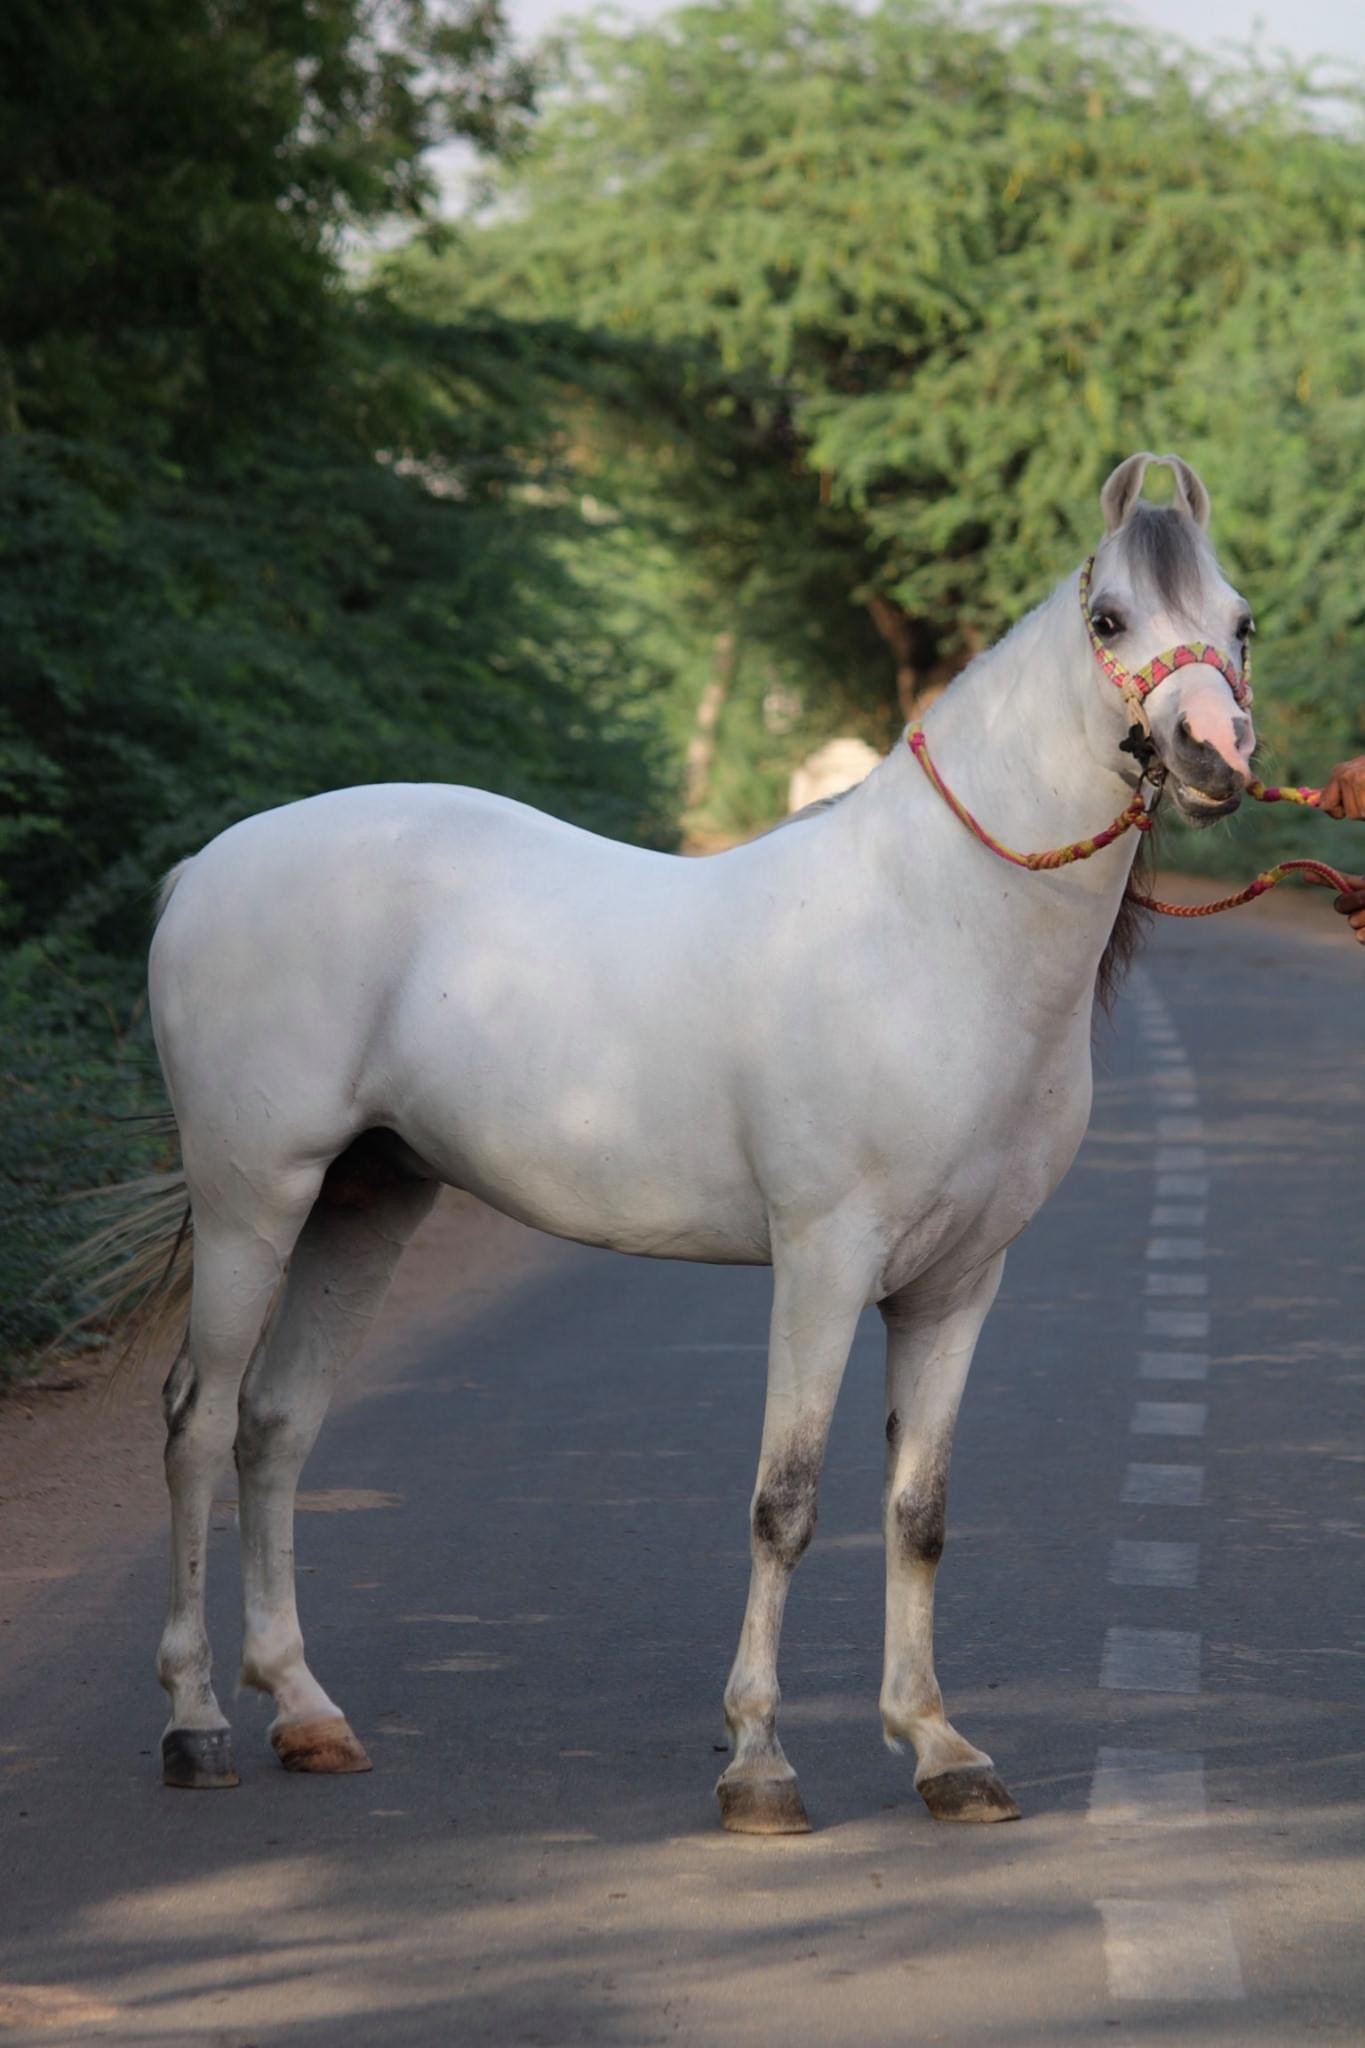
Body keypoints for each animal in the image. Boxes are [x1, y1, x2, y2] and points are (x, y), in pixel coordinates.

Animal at [132, 452, 1255, 1831]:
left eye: (1239, 623)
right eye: (1110, 619)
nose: (1216, 755)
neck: (933, 925)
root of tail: (205, 867)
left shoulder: (958, 1281)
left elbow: (918, 1511)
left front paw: (940, 1748)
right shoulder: (825, 1261)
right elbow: (787, 1501)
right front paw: (760, 1764)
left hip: (364, 1201)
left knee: (276, 1423)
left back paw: (305, 1710)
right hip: (254, 1198)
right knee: (196, 1423)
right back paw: (195, 1723)